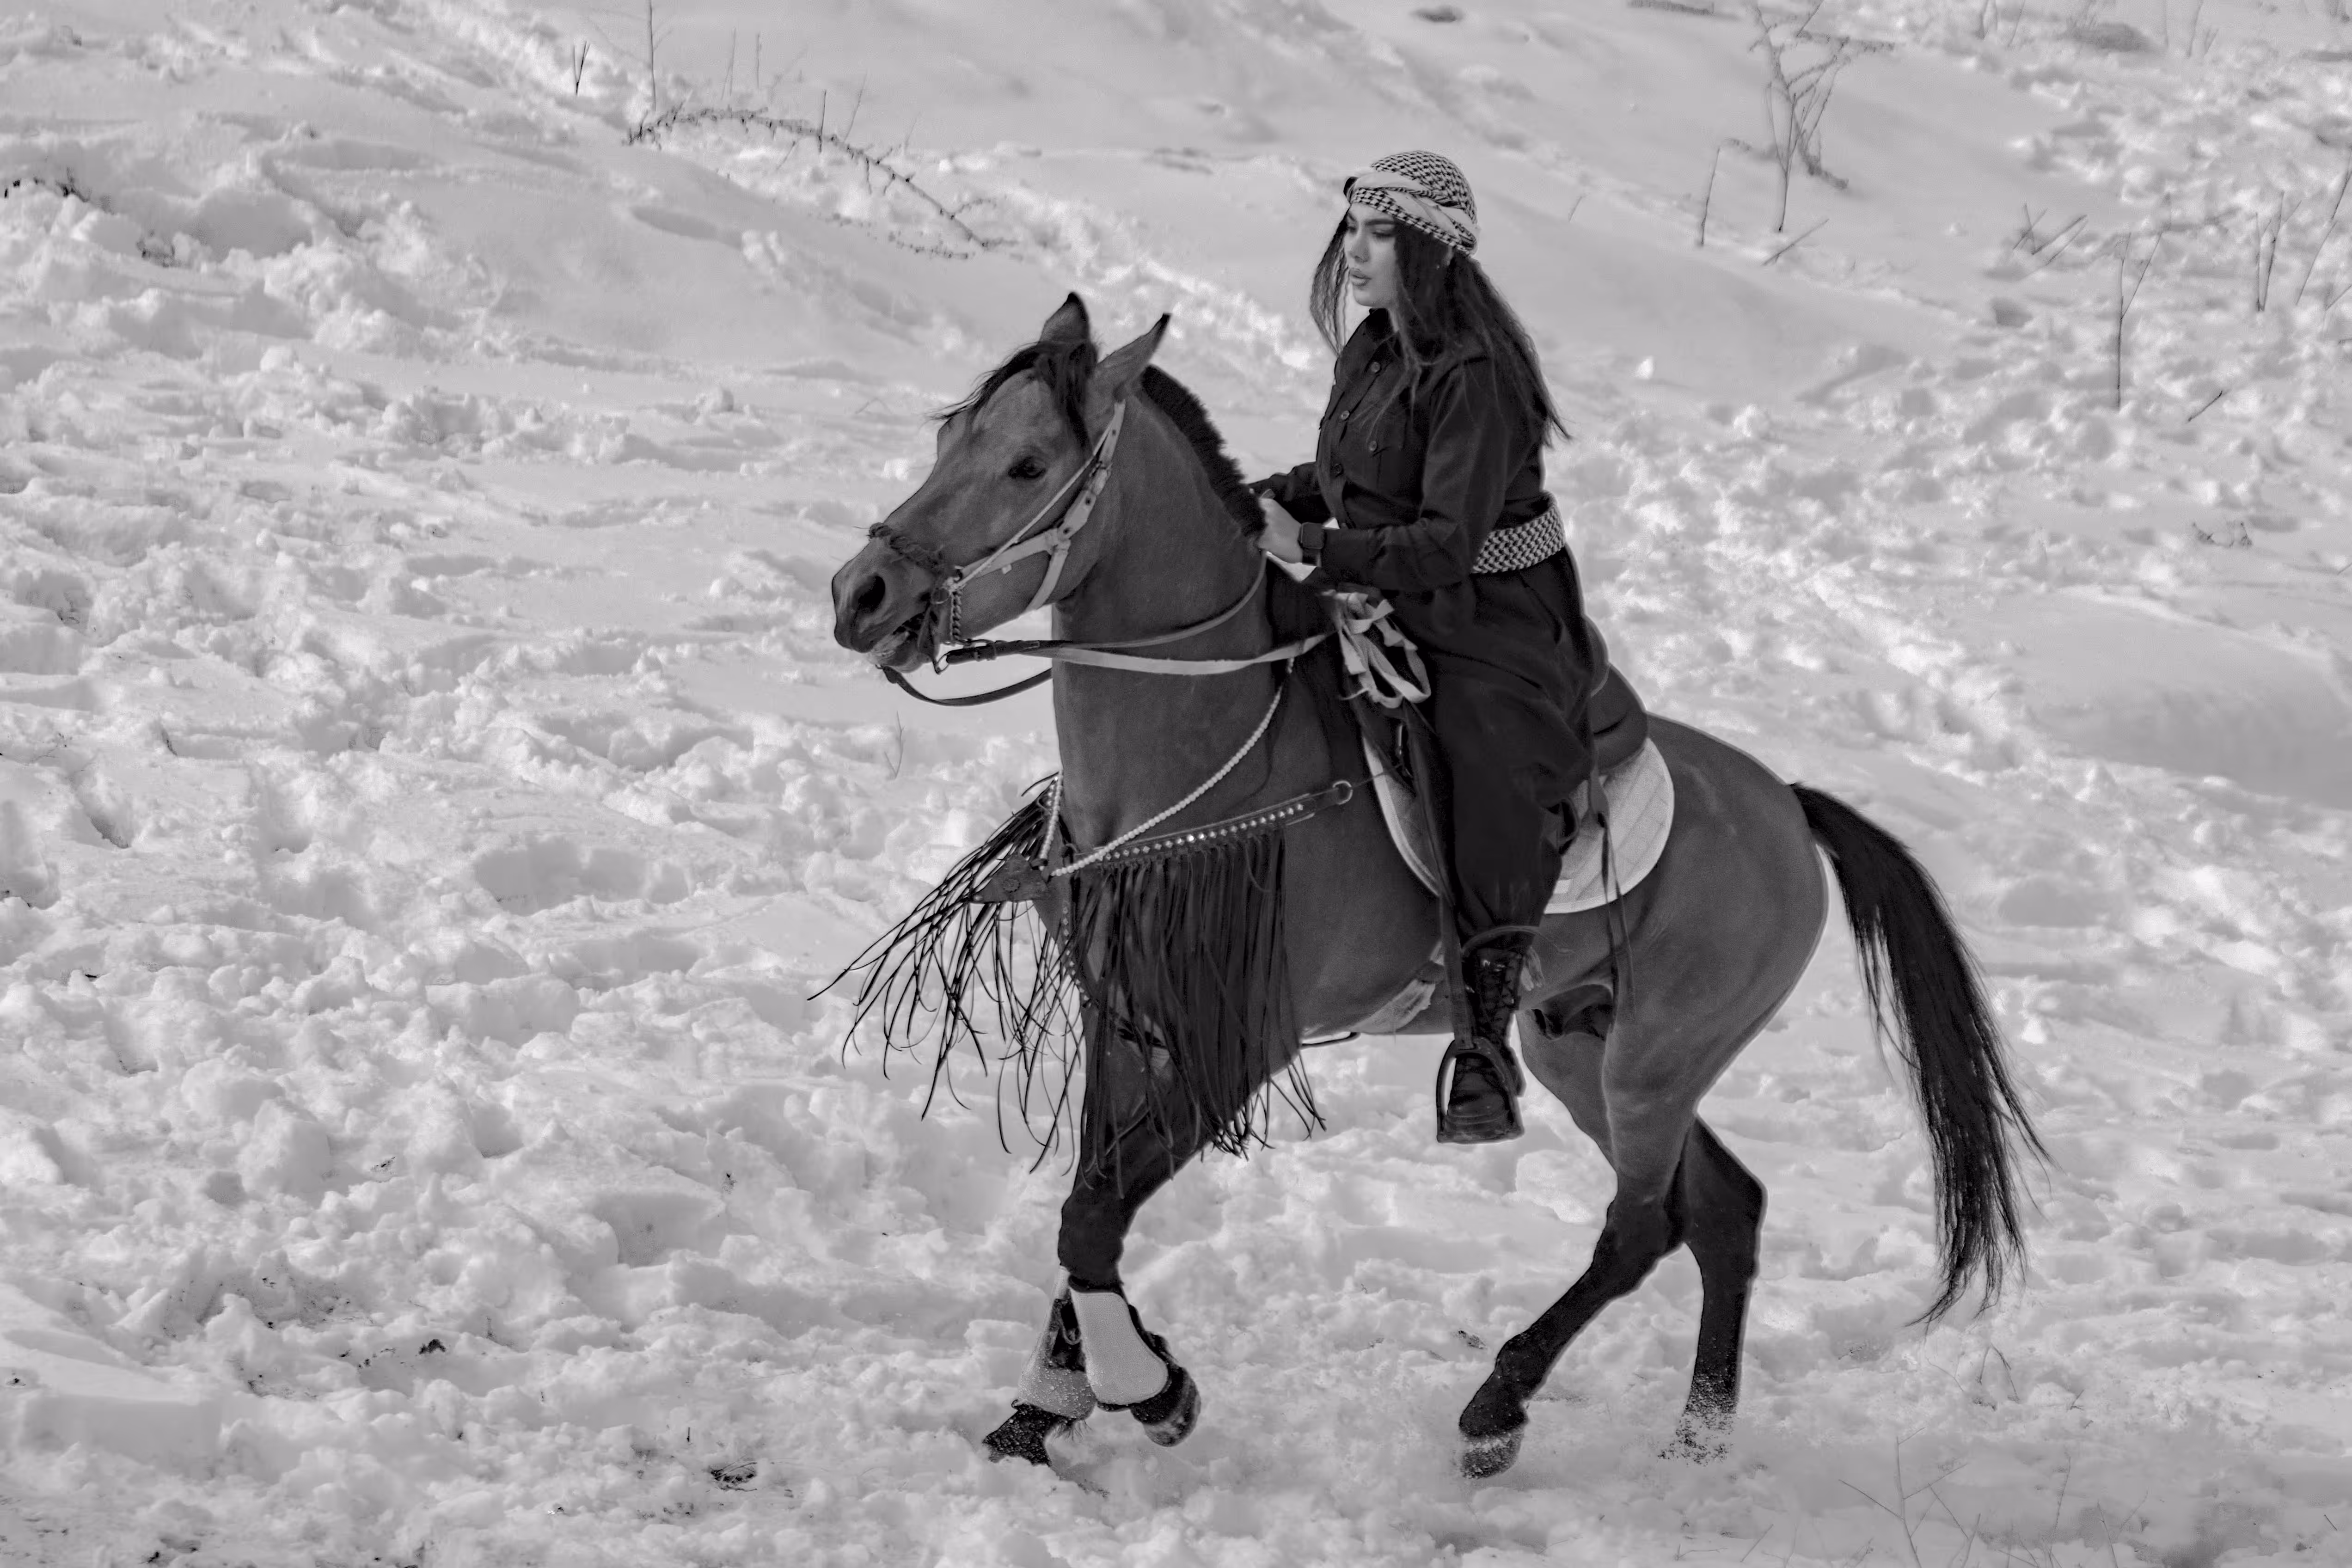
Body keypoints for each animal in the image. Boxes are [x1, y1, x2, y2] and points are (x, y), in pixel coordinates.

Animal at [826, 293, 2043, 1478]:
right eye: (947, 438)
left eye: (1028, 464)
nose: (861, 591)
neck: (1201, 745)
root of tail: (1787, 805)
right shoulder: (1130, 1016)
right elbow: (1093, 1205)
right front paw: (1044, 1410)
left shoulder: (1236, 1041)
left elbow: (1091, 1215)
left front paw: (1151, 1391)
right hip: (1577, 1043)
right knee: (1723, 1210)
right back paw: (1697, 1436)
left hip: (1655, 1059)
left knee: (1643, 1227)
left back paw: (1498, 1407)